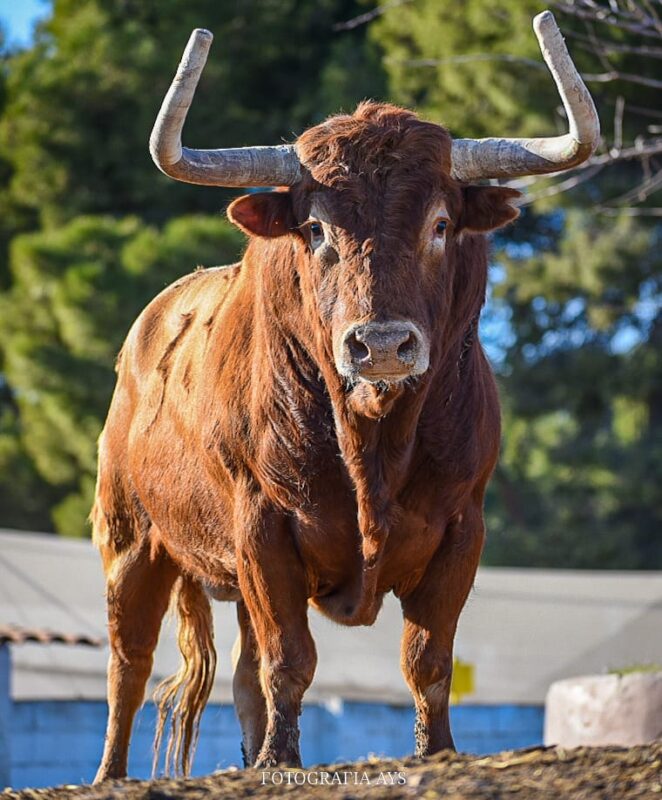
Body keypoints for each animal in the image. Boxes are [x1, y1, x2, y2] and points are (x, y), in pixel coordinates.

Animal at [93, 9, 600, 780]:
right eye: (315, 229)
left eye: (440, 225)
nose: (382, 346)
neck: (374, 440)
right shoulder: (263, 527)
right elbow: (288, 660)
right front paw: (282, 759)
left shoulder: (463, 527)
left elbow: (427, 659)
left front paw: (435, 750)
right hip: (131, 539)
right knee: (129, 662)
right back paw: (113, 774)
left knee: (238, 672)